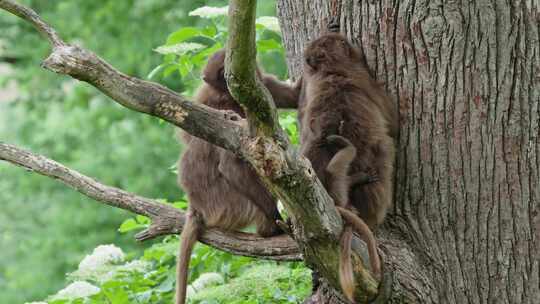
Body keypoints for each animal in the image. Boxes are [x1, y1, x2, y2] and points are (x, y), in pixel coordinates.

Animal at [175, 50, 300, 304]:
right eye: (222, 75)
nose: (231, 84)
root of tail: (196, 206)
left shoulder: (261, 88)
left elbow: (293, 96)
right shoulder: (229, 113)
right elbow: (230, 166)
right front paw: (276, 220)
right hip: (234, 208)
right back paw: (268, 229)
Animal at [300, 33, 396, 302]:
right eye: (340, 43)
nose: (344, 38)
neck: (332, 72)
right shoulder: (363, 78)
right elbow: (392, 117)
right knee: (385, 146)